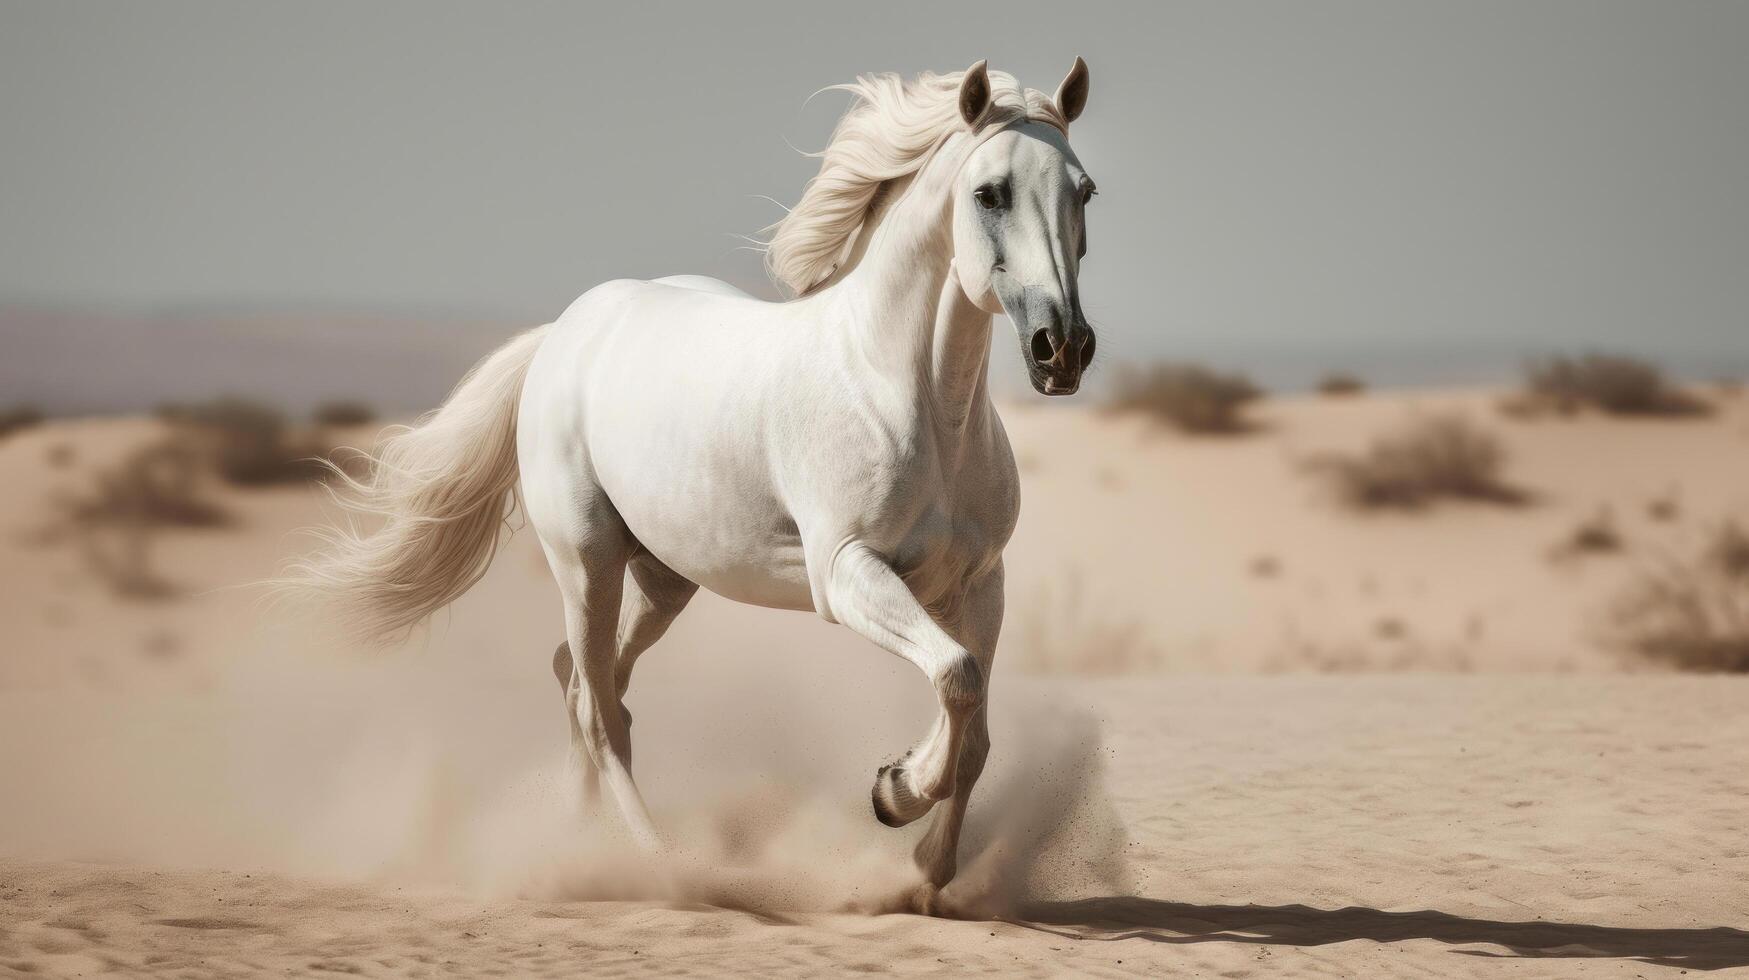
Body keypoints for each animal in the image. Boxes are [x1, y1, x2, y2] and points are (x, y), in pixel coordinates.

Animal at [292, 59, 1098, 903]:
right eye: (989, 192)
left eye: (1084, 191)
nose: (1062, 350)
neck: (907, 396)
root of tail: (563, 335)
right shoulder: (845, 574)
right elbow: (955, 677)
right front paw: (895, 791)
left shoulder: (978, 583)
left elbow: (971, 726)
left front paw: (925, 867)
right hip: (586, 562)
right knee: (599, 712)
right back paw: (659, 866)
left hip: (664, 581)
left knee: (588, 684)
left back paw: (574, 837)